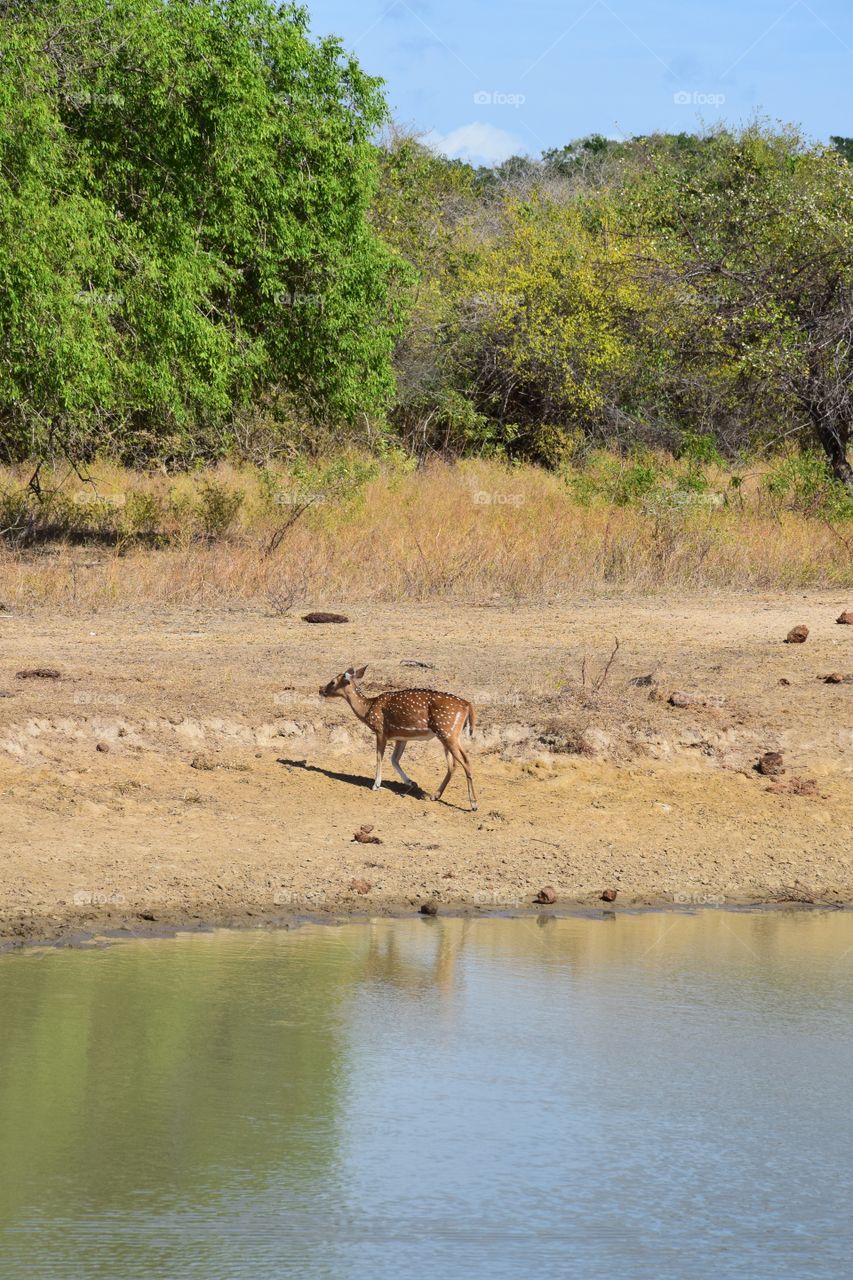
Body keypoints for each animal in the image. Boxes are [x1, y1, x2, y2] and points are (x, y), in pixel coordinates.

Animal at [320, 670, 479, 808]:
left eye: (333, 681)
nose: (321, 689)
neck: (367, 710)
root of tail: (468, 705)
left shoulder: (380, 731)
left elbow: (379, 757)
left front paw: (376, 785)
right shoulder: (401, 737)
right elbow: (394, 759)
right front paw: (411, 782)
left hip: (447, 732)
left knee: (465, 761)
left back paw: (473, 804)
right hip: (448, 735)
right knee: (453, 765)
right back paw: (435, 795)